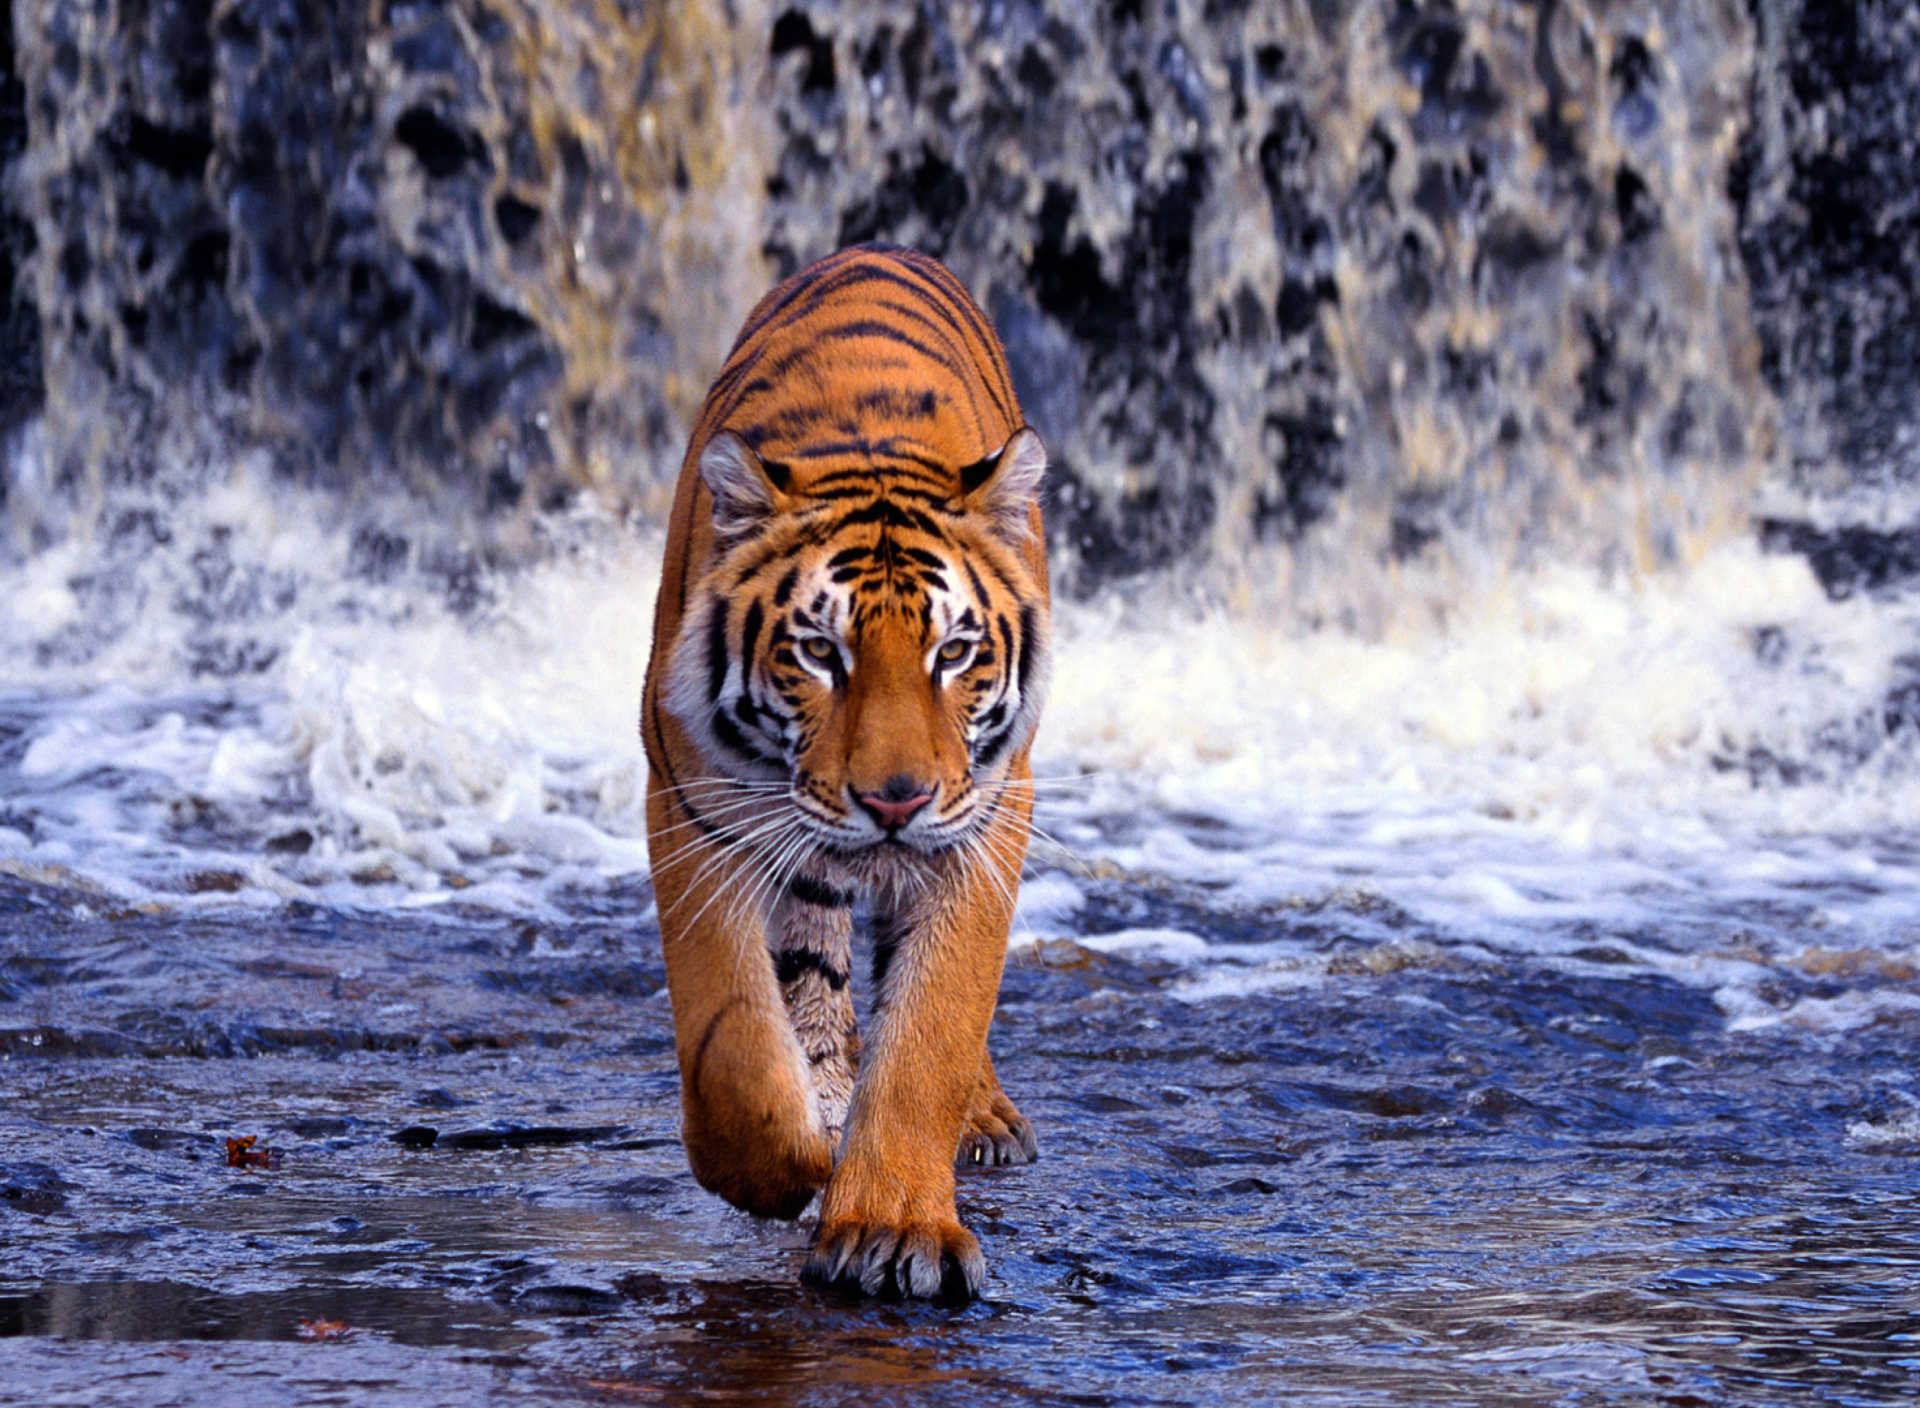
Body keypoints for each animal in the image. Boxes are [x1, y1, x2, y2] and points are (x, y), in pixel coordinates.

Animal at [645, 239, 1052, 1298]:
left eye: (954, 652)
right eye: (820, 653)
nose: (895, 802)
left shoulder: (986, 818)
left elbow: (933, 1028)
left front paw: (893, 1227)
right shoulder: (694, 806)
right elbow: (732, 1036)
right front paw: (782, 1166)